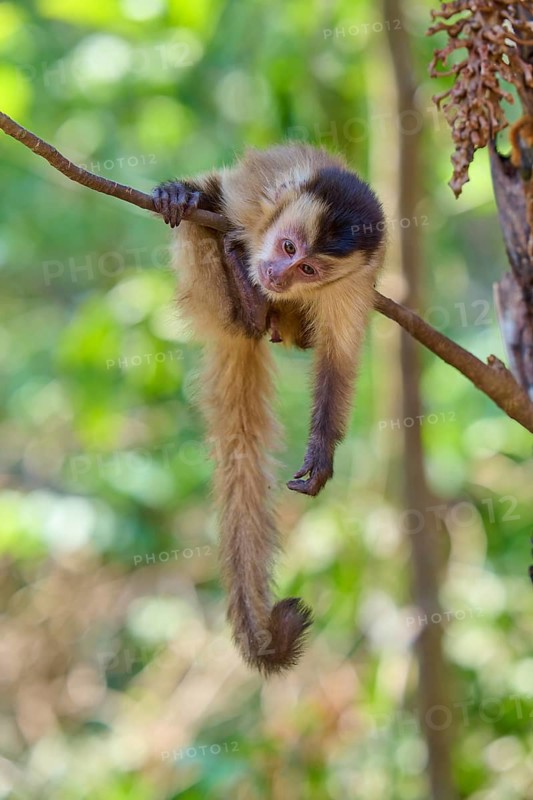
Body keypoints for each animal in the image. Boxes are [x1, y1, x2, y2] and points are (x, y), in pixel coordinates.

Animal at [152, 144, 385, 675]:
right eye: (288, 247)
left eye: (308, 269)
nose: (278, 274)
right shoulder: (254, 199)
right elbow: (218, 192)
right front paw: (183, 194)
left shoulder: (353, 282)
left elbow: (338, 361)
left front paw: (321, 452)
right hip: (204, 294)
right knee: (204, 223)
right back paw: (242, 296)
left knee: (301, 337)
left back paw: (260, 312)